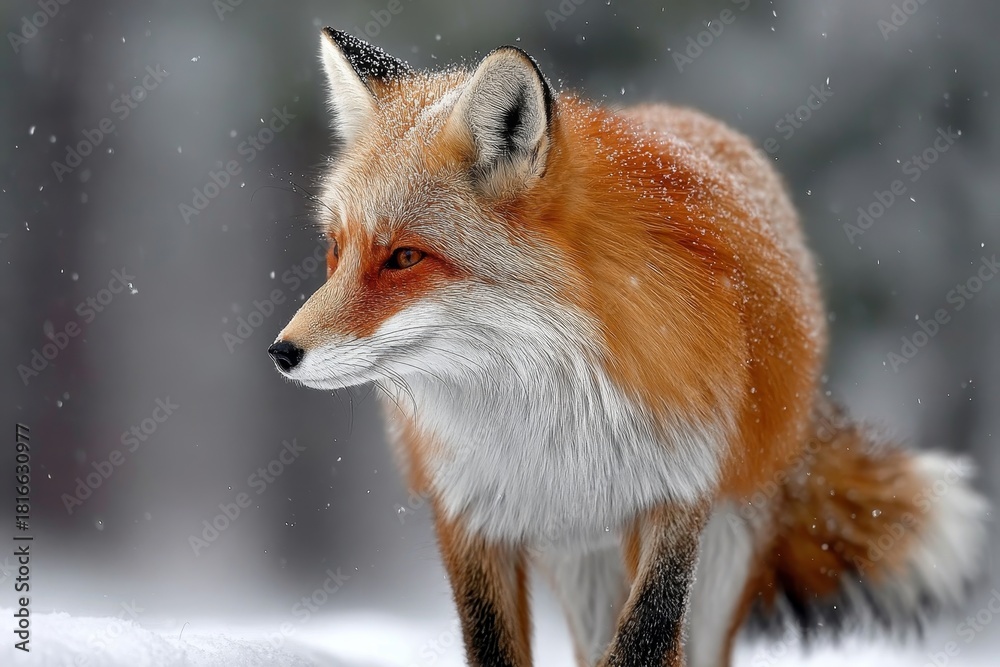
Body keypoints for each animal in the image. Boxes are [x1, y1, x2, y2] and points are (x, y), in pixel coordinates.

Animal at [268, 28, 989, 667]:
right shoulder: (470, 508)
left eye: (404, 257)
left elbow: (646, 642)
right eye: (335, 249)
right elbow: (494, 648)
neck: (544, 398)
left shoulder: (678, 487)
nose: (282, 352)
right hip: (581, 558)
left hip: (724, 545)